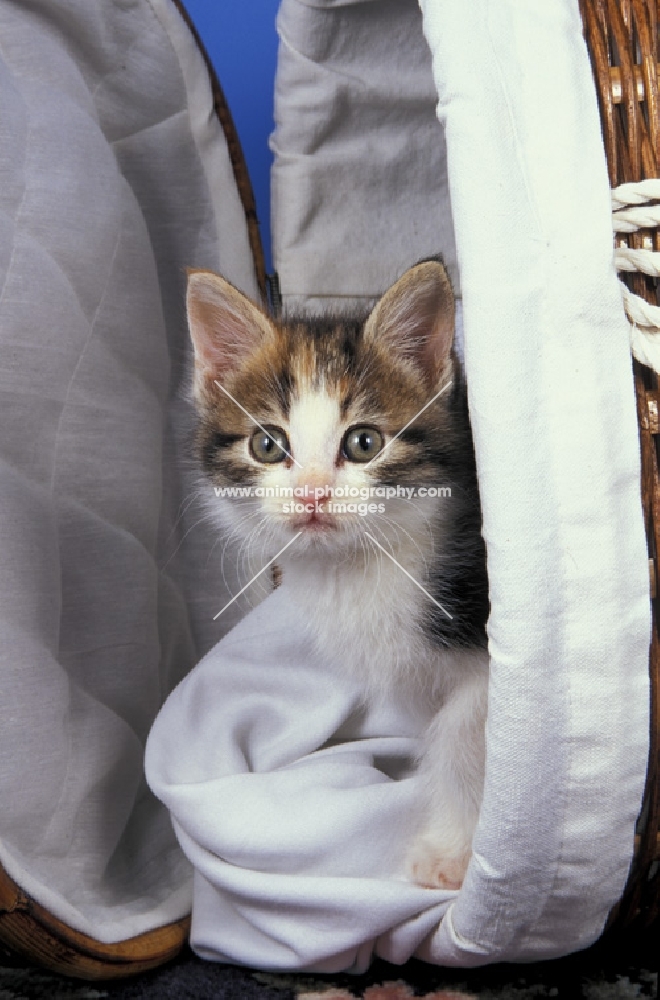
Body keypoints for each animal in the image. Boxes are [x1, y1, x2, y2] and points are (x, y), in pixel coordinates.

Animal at [183, 260, 488, 892]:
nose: (312, 493)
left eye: (364, 442)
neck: (363, 562)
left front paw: (450, 855)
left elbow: (461, 731)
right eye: (267, 444)